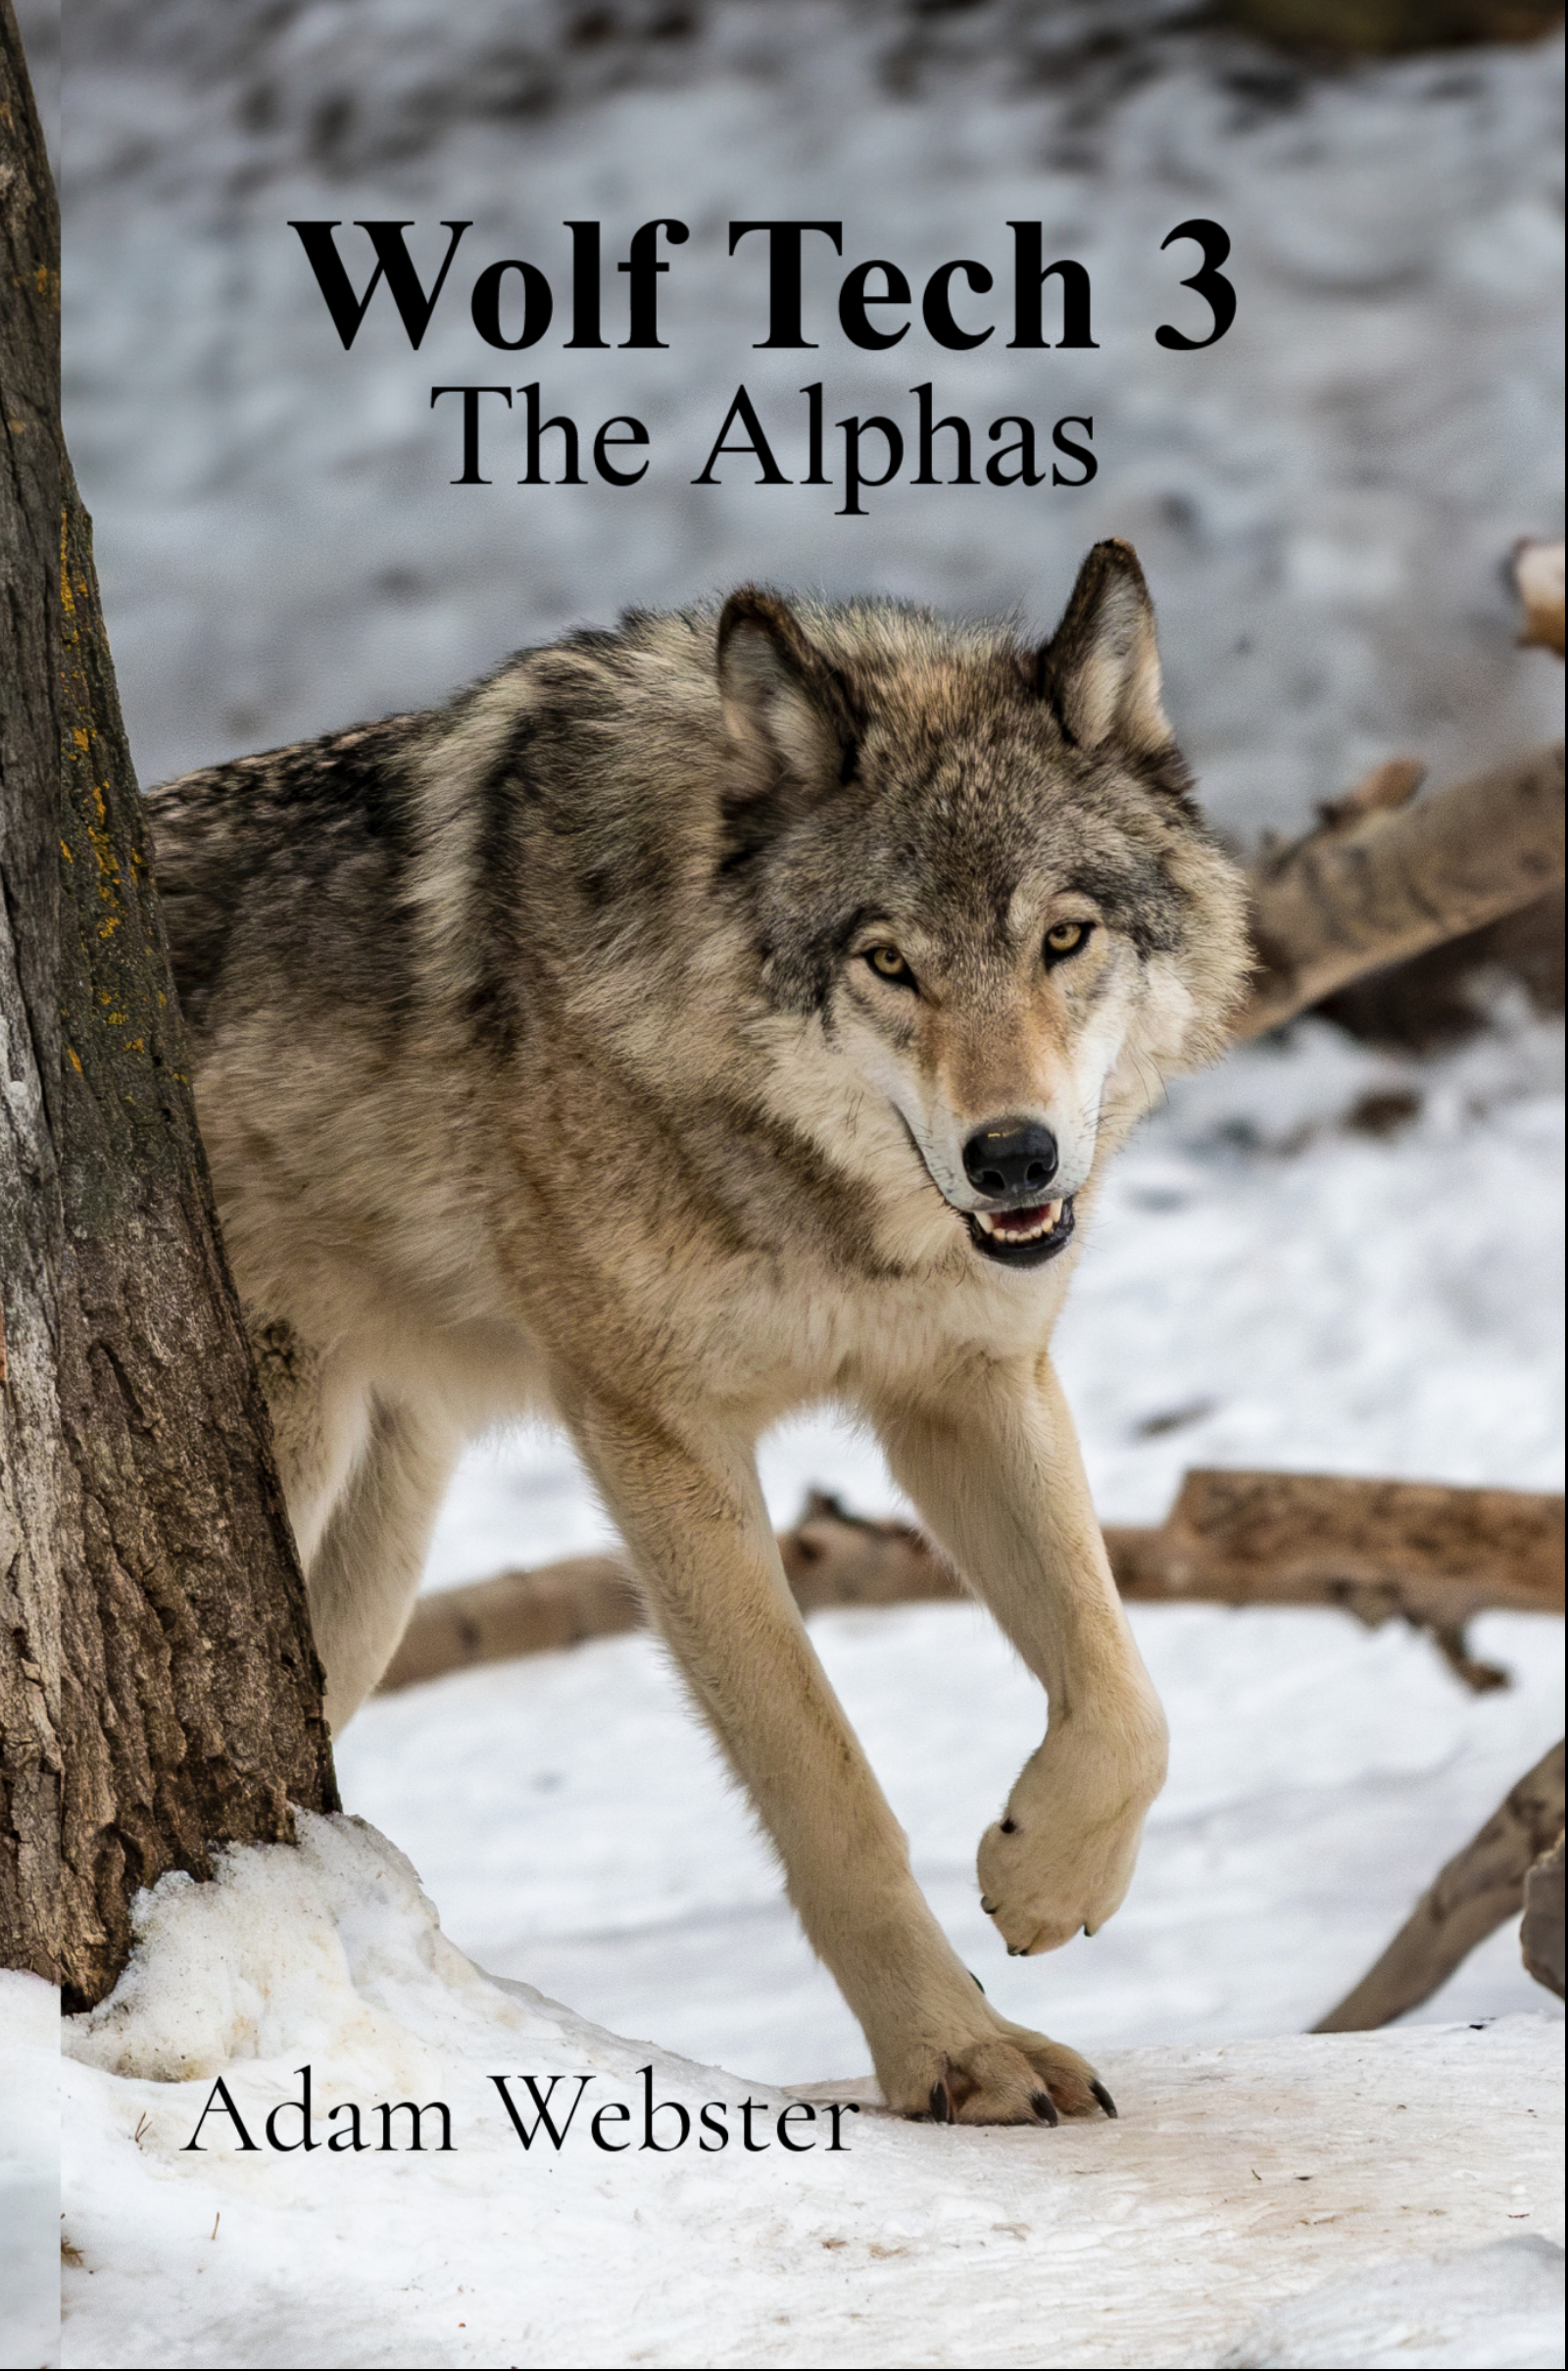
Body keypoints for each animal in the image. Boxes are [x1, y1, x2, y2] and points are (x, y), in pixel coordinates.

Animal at [147, 539, 1250, 2126]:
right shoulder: (657, 1435)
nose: (1014, 1158)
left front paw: (1046, 1877)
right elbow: (826, 1783)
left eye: (1064, 937)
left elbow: (1126, 1694)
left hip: (364, 1564)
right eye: (889, 962)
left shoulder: (970, 1383)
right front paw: (954, 2054)